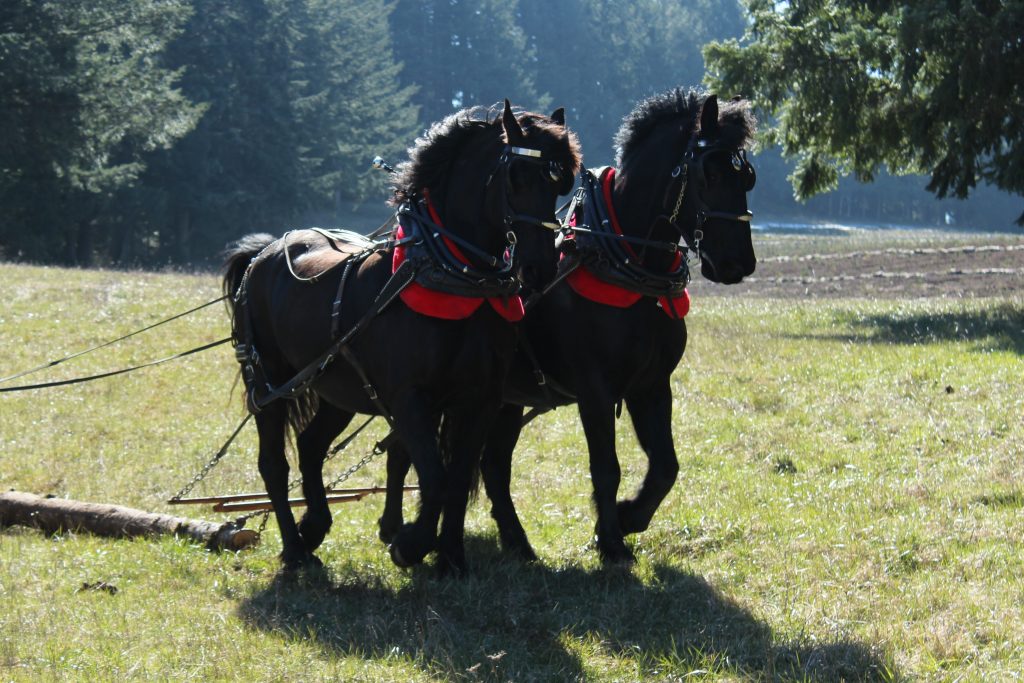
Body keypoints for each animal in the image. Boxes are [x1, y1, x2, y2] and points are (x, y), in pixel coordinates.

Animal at [221, 100, 581, 573]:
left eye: (560, 183)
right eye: (516, 177)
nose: (540, 267)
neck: (450, 276)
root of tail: (262, 252)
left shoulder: (481, 397)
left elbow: (458, 476)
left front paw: (451, 559)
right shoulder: (409, 398)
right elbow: (435, 477)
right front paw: (409, 544)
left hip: (339, 389)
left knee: (311, 446)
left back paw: (313, 526)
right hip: (269, 383)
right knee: (274, 465)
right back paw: (296, 551)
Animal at [380, 87, 757, 565]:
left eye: (747, 177)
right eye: (709, 172)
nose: (738, 263)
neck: (629, 266)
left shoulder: (652, 385)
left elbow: (666, 466)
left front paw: (629, 516)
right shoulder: (596, 388)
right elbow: (606, 466)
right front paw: (612, 540)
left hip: (504, 399)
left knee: (491, 466)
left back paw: (517, 542)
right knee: (405, 451)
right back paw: (396, 529)